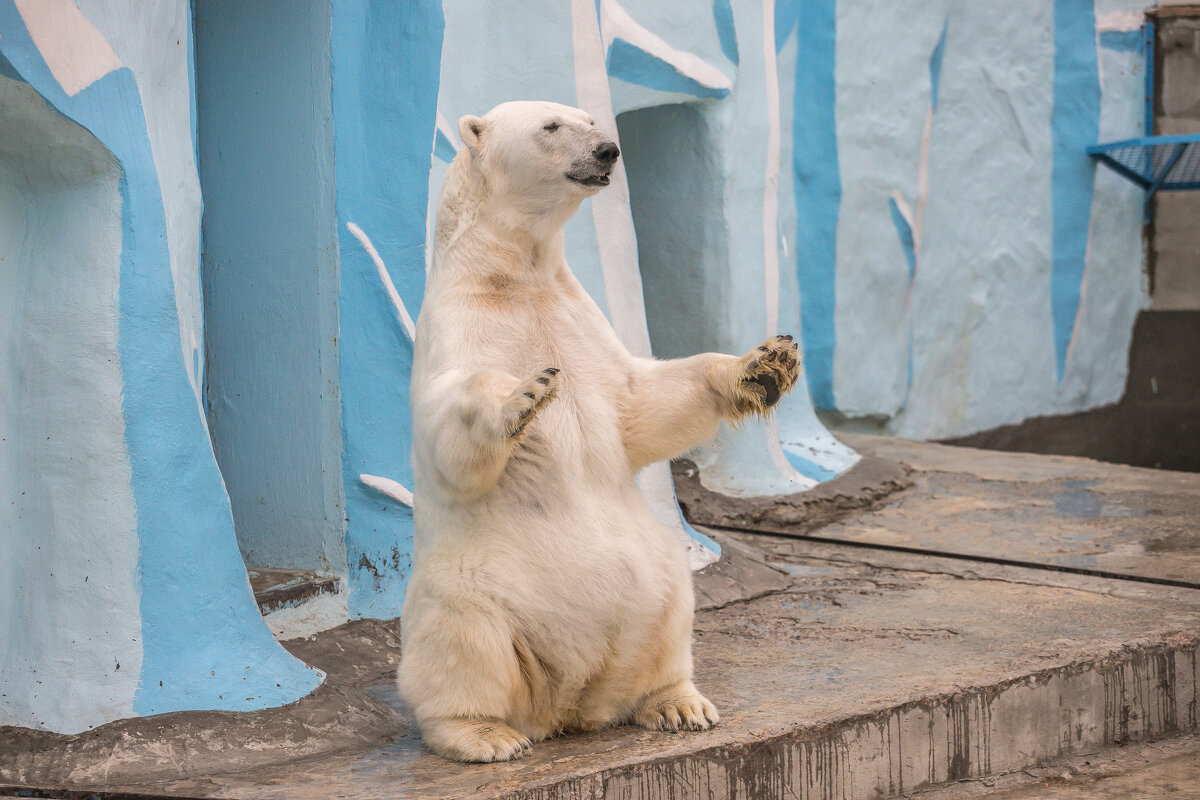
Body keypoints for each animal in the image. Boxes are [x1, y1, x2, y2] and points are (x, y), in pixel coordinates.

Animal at [398, 101, 801, 762]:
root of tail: (567, 705)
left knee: (670, 617)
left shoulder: (579, 319)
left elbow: (639, 403)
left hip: (654, 580)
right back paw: (483, 733)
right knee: (464, 639)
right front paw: (524, 394)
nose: (608, 149)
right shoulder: (456, 329)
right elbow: (450, 432)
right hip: (475, 586)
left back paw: (678, 703)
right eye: (550, 126)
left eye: (587, 118)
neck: (513, 275)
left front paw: (764, 364)